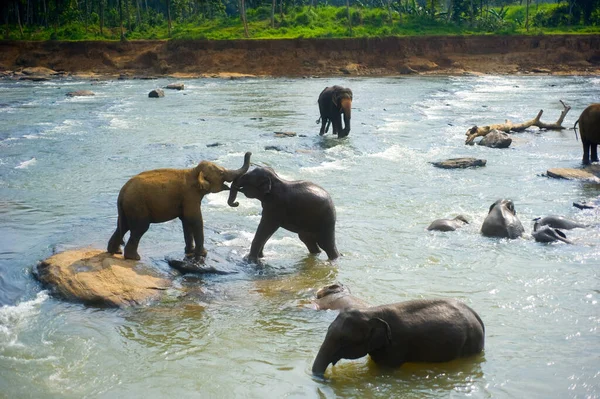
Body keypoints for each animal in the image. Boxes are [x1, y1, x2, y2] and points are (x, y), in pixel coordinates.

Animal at [312, 298, 486, 376]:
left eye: (343, 341)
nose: (324, 378)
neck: (372, 312)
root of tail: (477, 317)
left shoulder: (395, 346)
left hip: (471, 343)